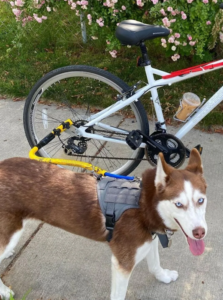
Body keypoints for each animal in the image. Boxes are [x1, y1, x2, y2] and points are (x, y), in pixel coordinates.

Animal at [0, 149, 207, 298]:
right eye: (178, 204)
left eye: (201, 200)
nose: (200, 232)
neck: (143, 205)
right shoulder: (122, 263)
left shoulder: (150, 239)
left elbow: (155, 264)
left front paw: (163, 276)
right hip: (12, 231)